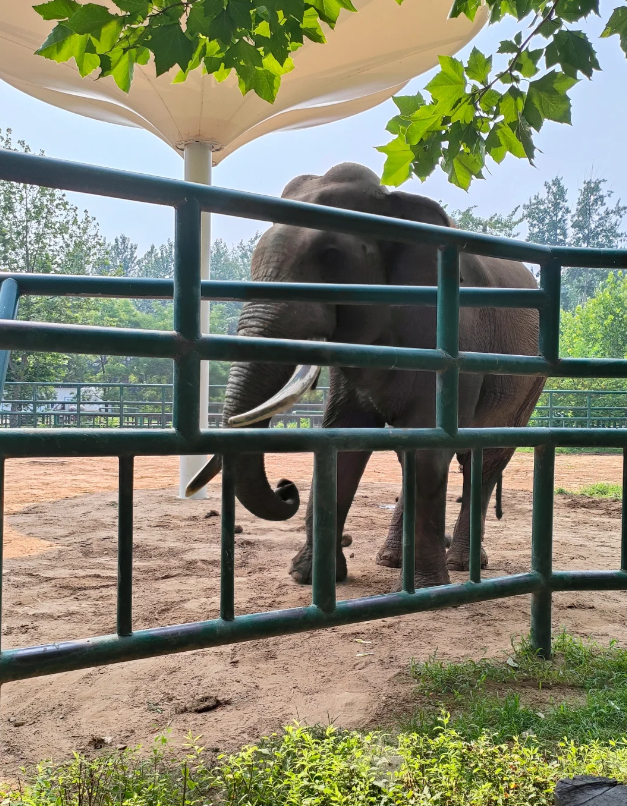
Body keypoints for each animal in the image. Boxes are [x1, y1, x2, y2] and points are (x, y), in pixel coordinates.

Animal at [190, 164, 544, 592]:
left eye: (330, 256)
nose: (286, 487)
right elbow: (345, 436)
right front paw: (308, 576)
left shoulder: (452, 341)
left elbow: (431, 446)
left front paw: (428, 587)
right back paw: (391, 559)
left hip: (527, 386)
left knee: (484, 458)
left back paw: (460, 564)